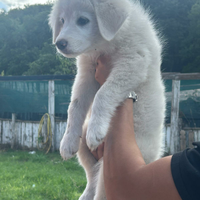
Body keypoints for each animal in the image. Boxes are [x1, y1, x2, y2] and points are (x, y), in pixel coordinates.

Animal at [48, 0, 166, 199]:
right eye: (62, 21)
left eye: (83, 20)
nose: (59, 44)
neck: (104, 44)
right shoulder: (87, 72)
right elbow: (75, 105)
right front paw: (67, 141)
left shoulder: (133, 61)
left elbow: (103, 93)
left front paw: (97, 129)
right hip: (84, 146)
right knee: (91, 176)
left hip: (115, 166)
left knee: (102, 188)